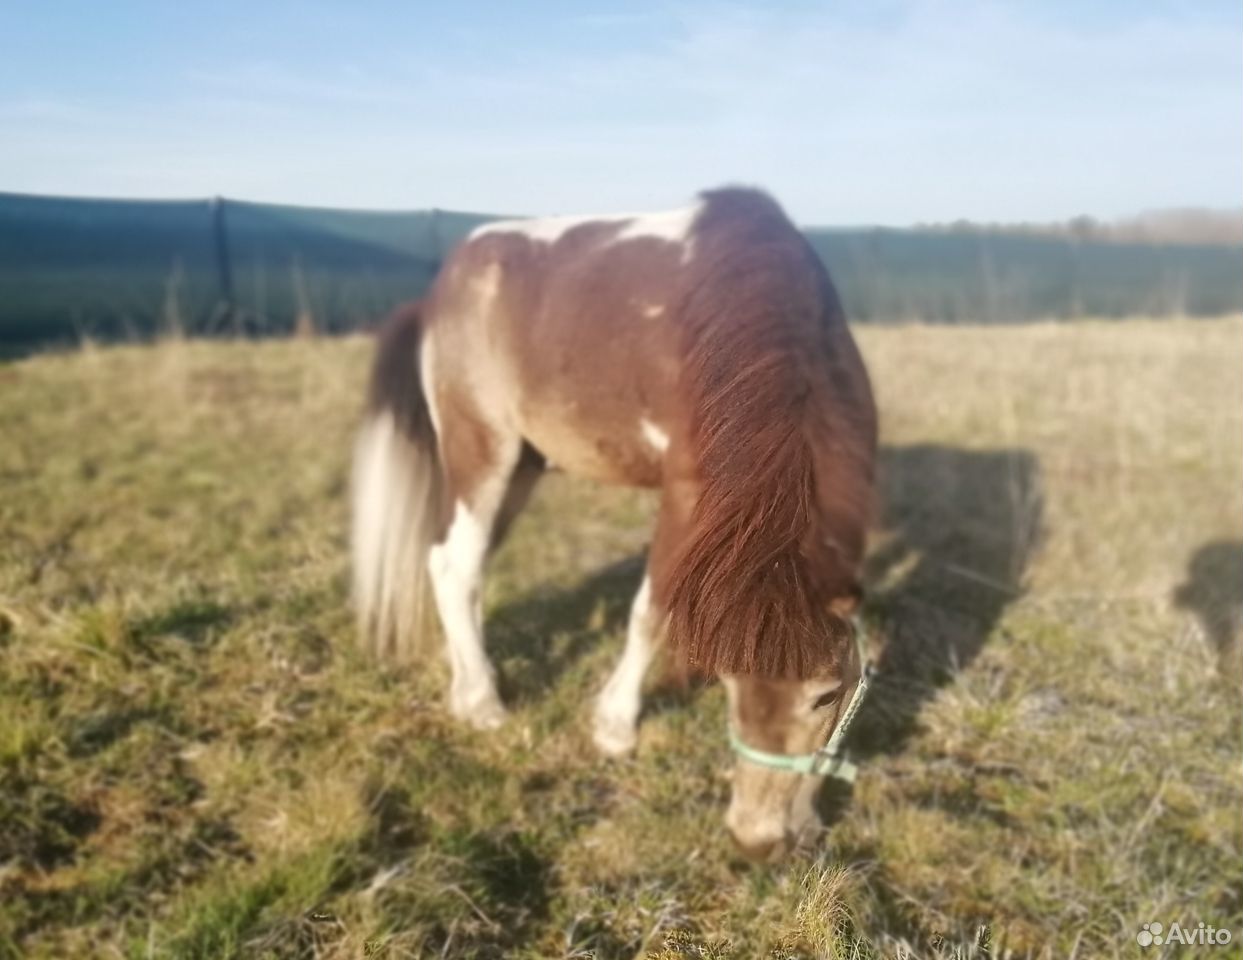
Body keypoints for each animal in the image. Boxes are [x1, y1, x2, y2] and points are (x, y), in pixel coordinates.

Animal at [350, 187, 875, 860]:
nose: (758, 841)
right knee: (454, 564)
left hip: (524, 466)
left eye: (825, 695)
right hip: (482, 451)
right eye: (727, 683)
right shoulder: (687, 501)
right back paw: (481, 702)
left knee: (468, 568)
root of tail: (438, 293)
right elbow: (650, 613)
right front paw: (615, 727)